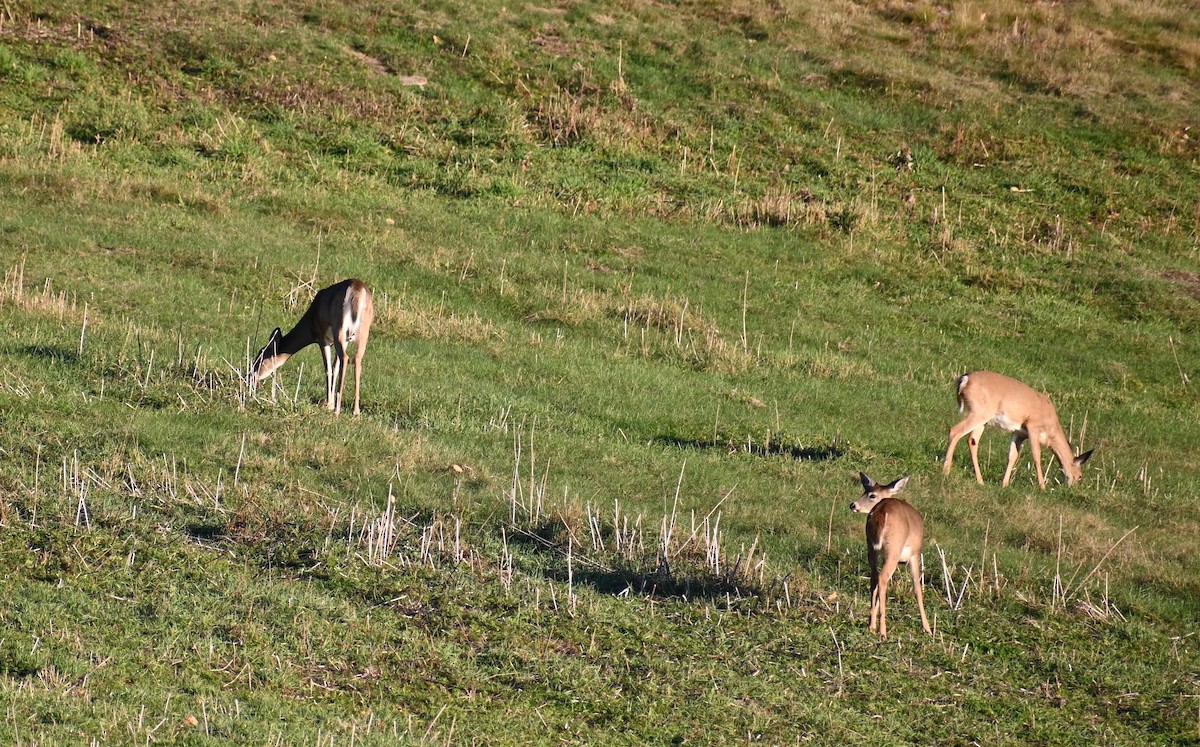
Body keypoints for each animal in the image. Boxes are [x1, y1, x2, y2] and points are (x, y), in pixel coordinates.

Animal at [249, 278, 375, 416]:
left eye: (261, 354)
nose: (251, 376)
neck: (310, 322)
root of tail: (357, 289)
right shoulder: (342, 340)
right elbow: (335, 368)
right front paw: (330, 403)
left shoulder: (321, 335)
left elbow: (328, 368)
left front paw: (329, 405)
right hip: (363, 331)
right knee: (356, 360)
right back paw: (356, 412)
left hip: (339, 328)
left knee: (345, 358)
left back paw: (337, 410)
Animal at [851, 473, 931, 640]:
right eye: (865, 491)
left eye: (871, 494)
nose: (853, 505)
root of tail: (881, 511)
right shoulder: (914, 554)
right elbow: (917, 588)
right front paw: (927, 628)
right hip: (894, 548)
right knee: (882, 578)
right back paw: (883, 631)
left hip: (871, 547)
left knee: (874, 578)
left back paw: (871, 626)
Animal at [942, 371, 1093, 490]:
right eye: (1080, 476)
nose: (1072, 488)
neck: (1051, 430)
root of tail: (965, 379)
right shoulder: (1033, 426)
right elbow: (1036, 456)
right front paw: (1042, 487)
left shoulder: (1019, 433)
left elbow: (1012, 456)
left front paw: (1005, 484)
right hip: (980, 412)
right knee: (955, 430)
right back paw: (946, 471)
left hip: (982, 419)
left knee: (972, 441)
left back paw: (980, 481)